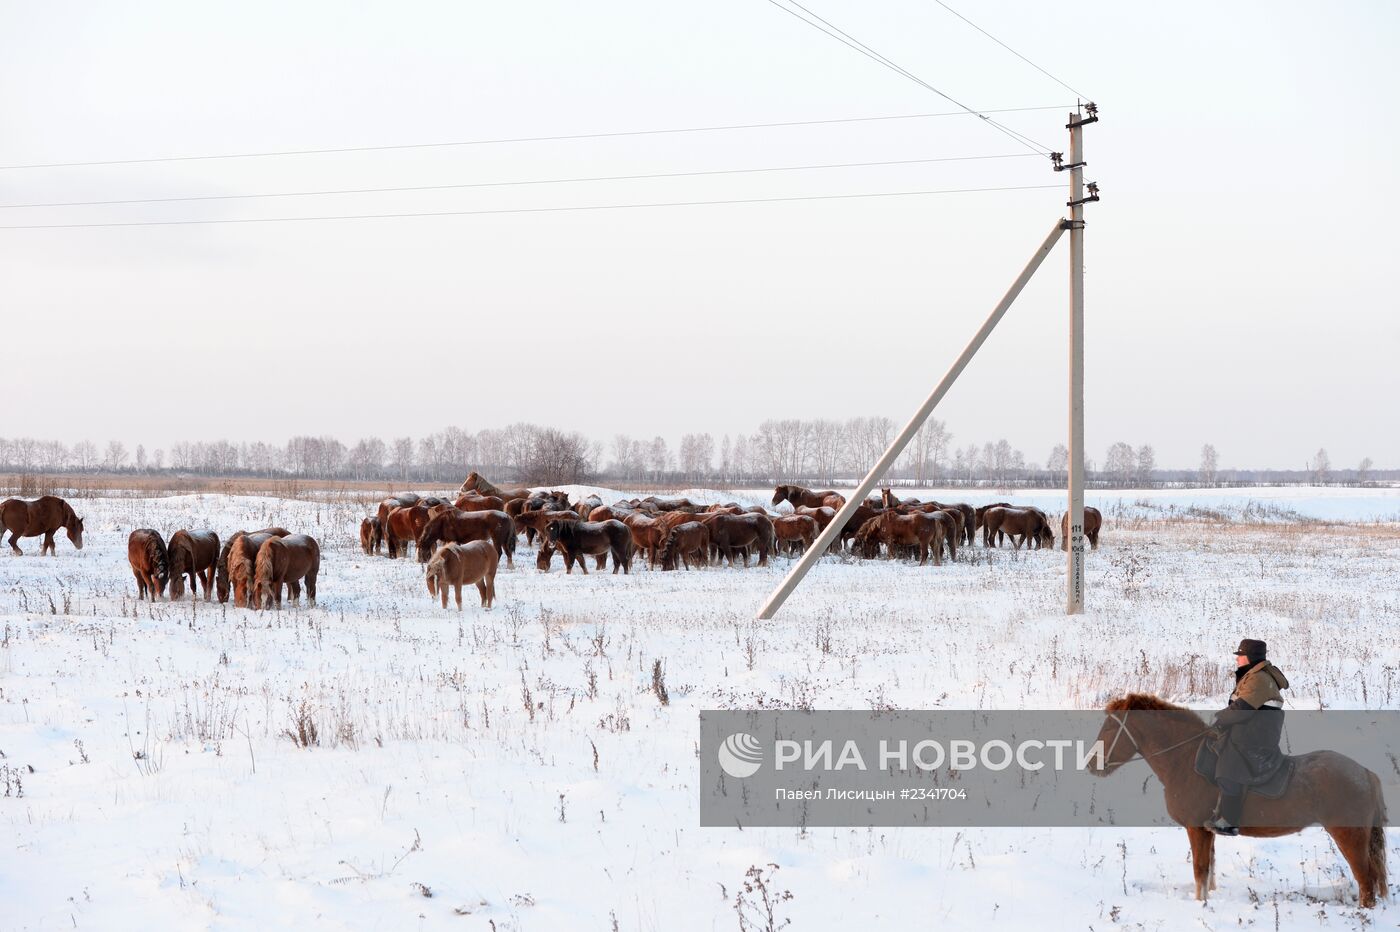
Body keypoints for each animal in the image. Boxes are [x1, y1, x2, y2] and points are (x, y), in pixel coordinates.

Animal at [1092, 694, 1388, 901]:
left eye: (1109, 728)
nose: (1092, 765)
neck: (1185, 760)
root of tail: (1364, 772)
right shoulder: (1208, 831)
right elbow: (1209, 868)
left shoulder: (1196, 829)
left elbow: (1200, 870)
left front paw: (1200, 904)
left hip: (1348, 834)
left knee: (1366, 880)